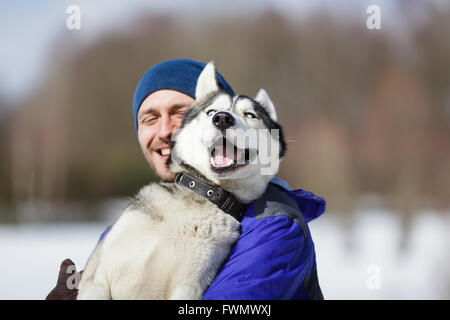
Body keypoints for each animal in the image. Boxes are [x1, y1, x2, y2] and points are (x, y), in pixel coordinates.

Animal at [77, 62, 286, 300]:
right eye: (211, 111)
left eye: (250, 115)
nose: (222, 119)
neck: (205, 191)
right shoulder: (97, 276)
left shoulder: (190, 284)